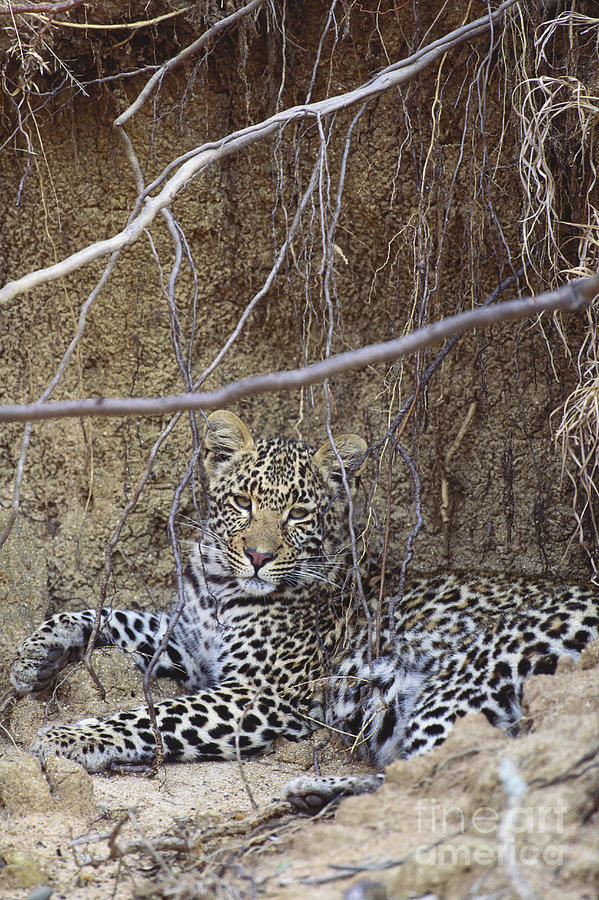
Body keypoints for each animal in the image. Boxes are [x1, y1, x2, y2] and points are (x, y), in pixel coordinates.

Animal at [5, 410, 599, 811]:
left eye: (296, 514)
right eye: (243, 503)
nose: (258, 556)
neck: (220, 586)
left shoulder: (259, 692)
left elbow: (153, 715)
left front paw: (66, 738)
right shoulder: (192, 648)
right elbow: (107, 614)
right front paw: (34, 656)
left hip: (471, 672)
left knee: (433, 773)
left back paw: (310, 788)